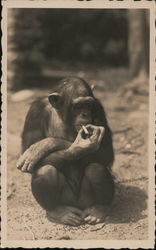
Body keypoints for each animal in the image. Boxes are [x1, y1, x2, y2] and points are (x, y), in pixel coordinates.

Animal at [17, 76, 114, 227]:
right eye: (78, 106)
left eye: (88, 104)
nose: (85, 113)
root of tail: (78, 206)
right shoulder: (35, 111)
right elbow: (27, 150)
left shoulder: (98, 108)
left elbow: (106, 151)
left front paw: (46, 144)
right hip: (67, 200)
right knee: (45, 171)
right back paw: (58, 212)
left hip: (86, 200)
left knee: (96, 168)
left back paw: (98, 210)